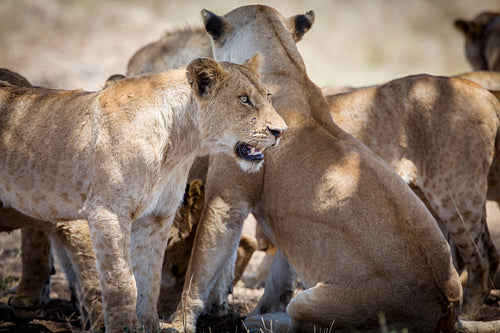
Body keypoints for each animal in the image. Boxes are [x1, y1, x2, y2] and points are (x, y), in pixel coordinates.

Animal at [0, 55, 286, 332]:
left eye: (268, 96)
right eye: (244, 99)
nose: (281, 131)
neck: (179, 144)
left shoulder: (157, 217)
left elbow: (149, 281)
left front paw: (148, 325)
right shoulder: (107, 212)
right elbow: (121, 283)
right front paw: (123, 327)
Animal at [163, 5, 500, 332]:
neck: (286, 68)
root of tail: (448, 311)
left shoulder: (226, 201)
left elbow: (199, 272)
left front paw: (178, 322)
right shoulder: (287, 233)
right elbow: (279, 279)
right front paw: (262, 308)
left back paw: (261, 322)